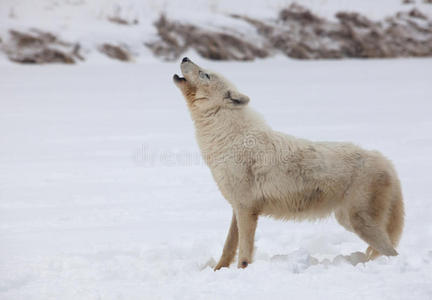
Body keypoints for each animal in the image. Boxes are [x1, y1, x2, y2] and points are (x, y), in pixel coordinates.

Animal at [173, 56, 404, 270]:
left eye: (205, 74)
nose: (185, 57)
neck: (228, 136)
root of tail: (386, 161)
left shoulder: (246, 208)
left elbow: (244, 253)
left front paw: (242, 272)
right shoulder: (237, 207)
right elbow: (228, 247)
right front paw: (218, 270)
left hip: (357, 222)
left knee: (393, 252)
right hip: (348, 220)